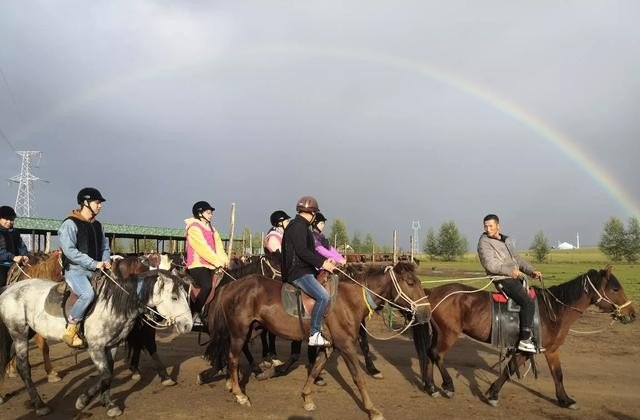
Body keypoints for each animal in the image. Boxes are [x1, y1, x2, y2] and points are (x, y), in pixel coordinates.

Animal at [0, 268, 192, 416]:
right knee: (23, 367)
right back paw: (40, 406)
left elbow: (109, 373)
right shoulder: (95, 347)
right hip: (19, 333)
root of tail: (9, 289)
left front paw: (108, 404)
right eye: (174, 297)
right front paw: (83, 401)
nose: (188, 325)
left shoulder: (111, 345)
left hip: (24, 333)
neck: (113, 305)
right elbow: (105, 374)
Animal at [200, 260, 430, 418]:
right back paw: (239, 394)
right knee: (233, 358)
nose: (426, 313)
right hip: (239, 332)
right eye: (410, 283)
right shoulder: (346, 346)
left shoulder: (329, 346)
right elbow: (358, 378)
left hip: (248, 330)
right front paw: (372, 409)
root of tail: (229, 286)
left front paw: (307, 397)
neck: (348, 300)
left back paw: (232, 381)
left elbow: (315, 369)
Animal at [416, 268, 636, 408]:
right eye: (615, 289)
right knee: (437, 355)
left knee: (429, 354)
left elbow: (558, 374)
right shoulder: (524, 349)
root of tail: (434, 292)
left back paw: (431, 387)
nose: (632, 313)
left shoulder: (551, 350)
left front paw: (565, 400)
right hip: (448, 334)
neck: (553, 311)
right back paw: (448, 386)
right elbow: (510, 369)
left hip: (439, 333)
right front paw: (493, 394)